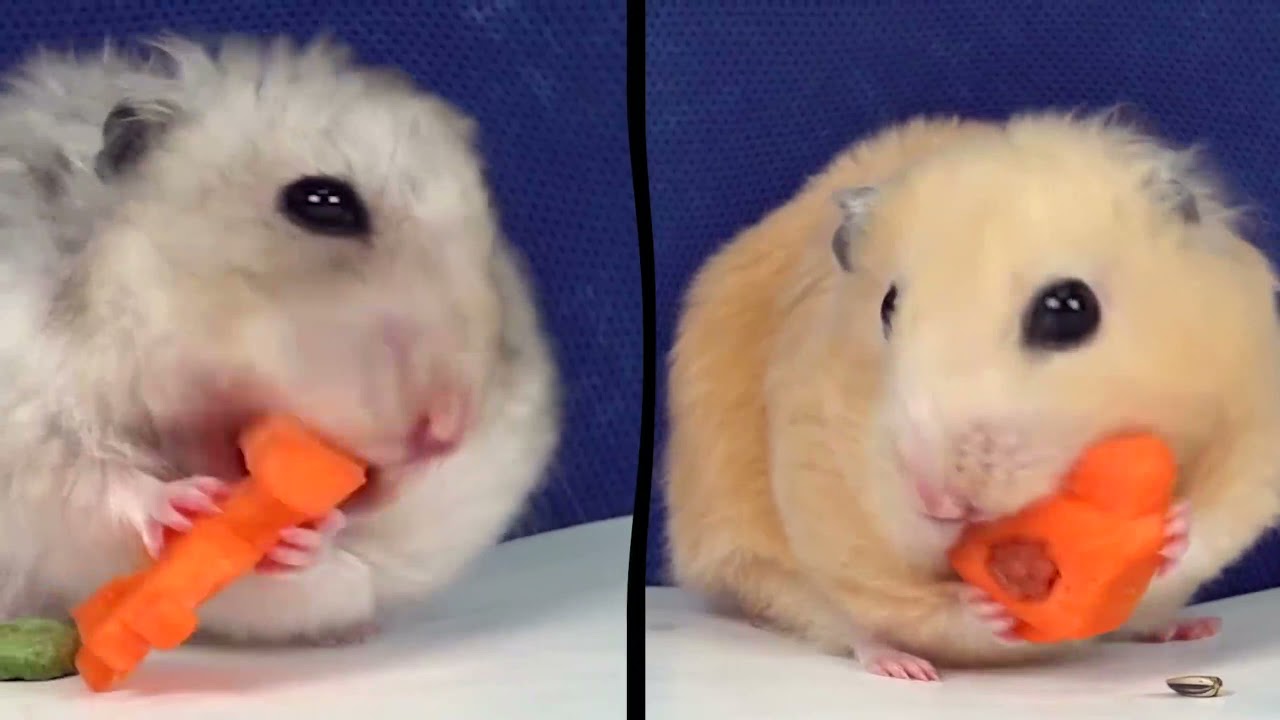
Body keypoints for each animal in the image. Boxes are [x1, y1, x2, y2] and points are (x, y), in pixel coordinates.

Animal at [0, 35, 560, 645]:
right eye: (321, 202)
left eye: (491, 253)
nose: (449, 432)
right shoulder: (26, 412)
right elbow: (88, 477)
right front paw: (185, 504)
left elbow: (342, 566)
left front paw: (309, 536)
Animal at [664, 110, 1280, 680]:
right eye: (886, 305)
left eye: (1068, 309)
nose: (936, 500)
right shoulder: (820, 484)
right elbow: (905, 600)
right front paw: (982, 608)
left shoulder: (1254, 420)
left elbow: (1219, 520)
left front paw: (1173, 529)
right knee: (835, 618)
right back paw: (903, 667)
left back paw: (1189, 627)